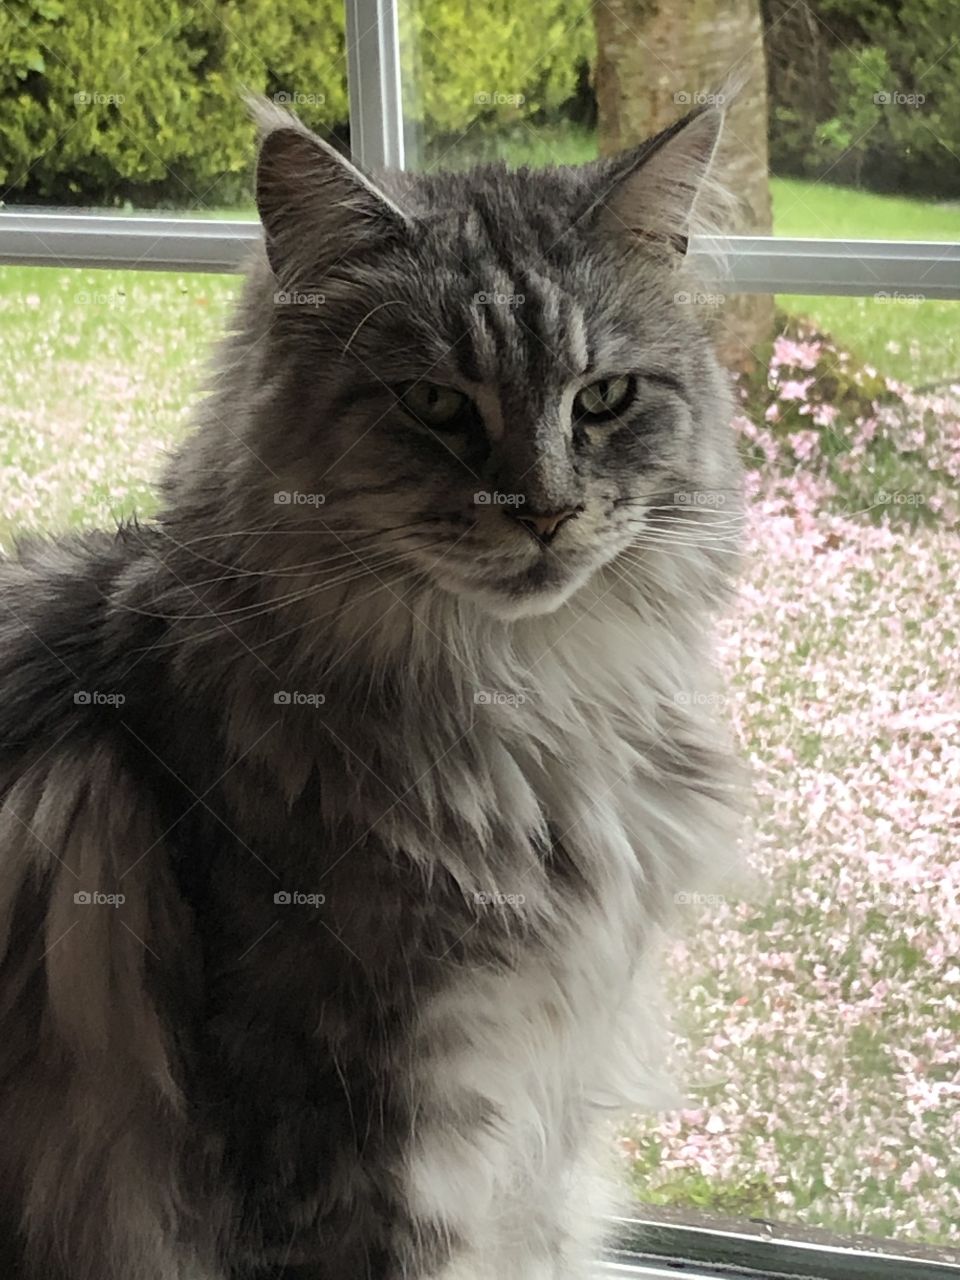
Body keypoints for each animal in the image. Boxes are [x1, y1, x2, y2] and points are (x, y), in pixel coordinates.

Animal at [0, 99, 742, 1280]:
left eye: (605, 398)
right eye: (435, 402)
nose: (545, 511)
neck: (529, 703)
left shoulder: (535, 1114)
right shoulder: (345, 1129)